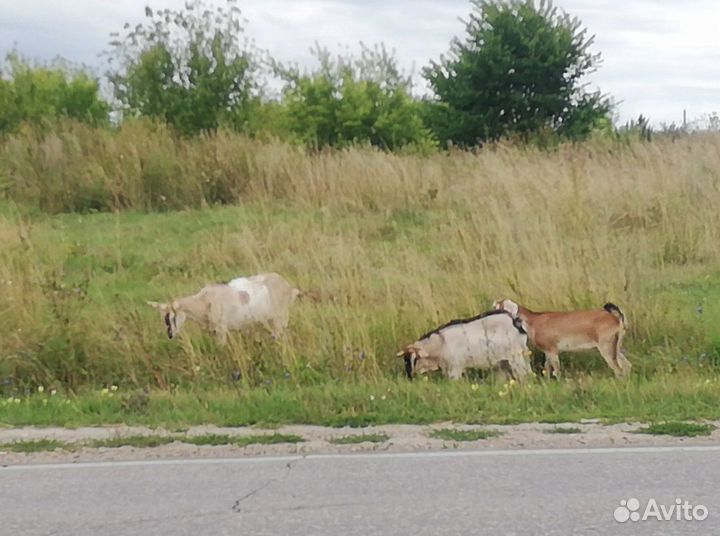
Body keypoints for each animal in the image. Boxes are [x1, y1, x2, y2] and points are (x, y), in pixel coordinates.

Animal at [149, 274, 300, 346]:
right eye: (164, 318)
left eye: (174, 316)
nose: (170, 335)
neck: (204, 300)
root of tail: (289, 287)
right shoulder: (213, 331)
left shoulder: (221, 329)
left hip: (281, 316)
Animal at [396, 310, 532, 382]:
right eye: (405, 360)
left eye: (415, 359)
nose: (409, 376)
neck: (440, 343)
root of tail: (515, 320)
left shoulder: (454, 369)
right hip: (504, 361)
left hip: (516, 357)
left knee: (525, 374)